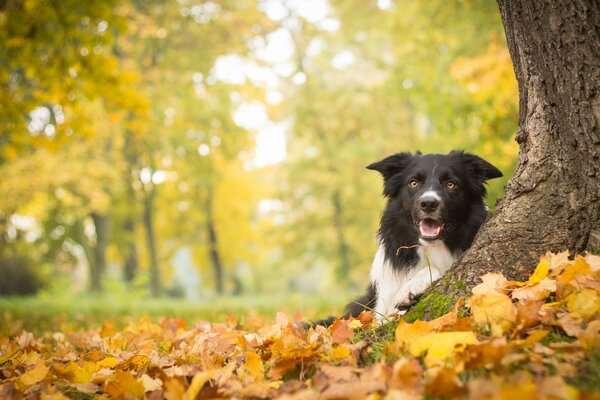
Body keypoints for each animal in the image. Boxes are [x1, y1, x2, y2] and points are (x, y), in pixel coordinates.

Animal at [314, 150, 502, 324]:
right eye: (413, 183)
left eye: (451, 184)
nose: (428, 203)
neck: (431, 248)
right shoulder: (380, 312)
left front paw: (411, 287)